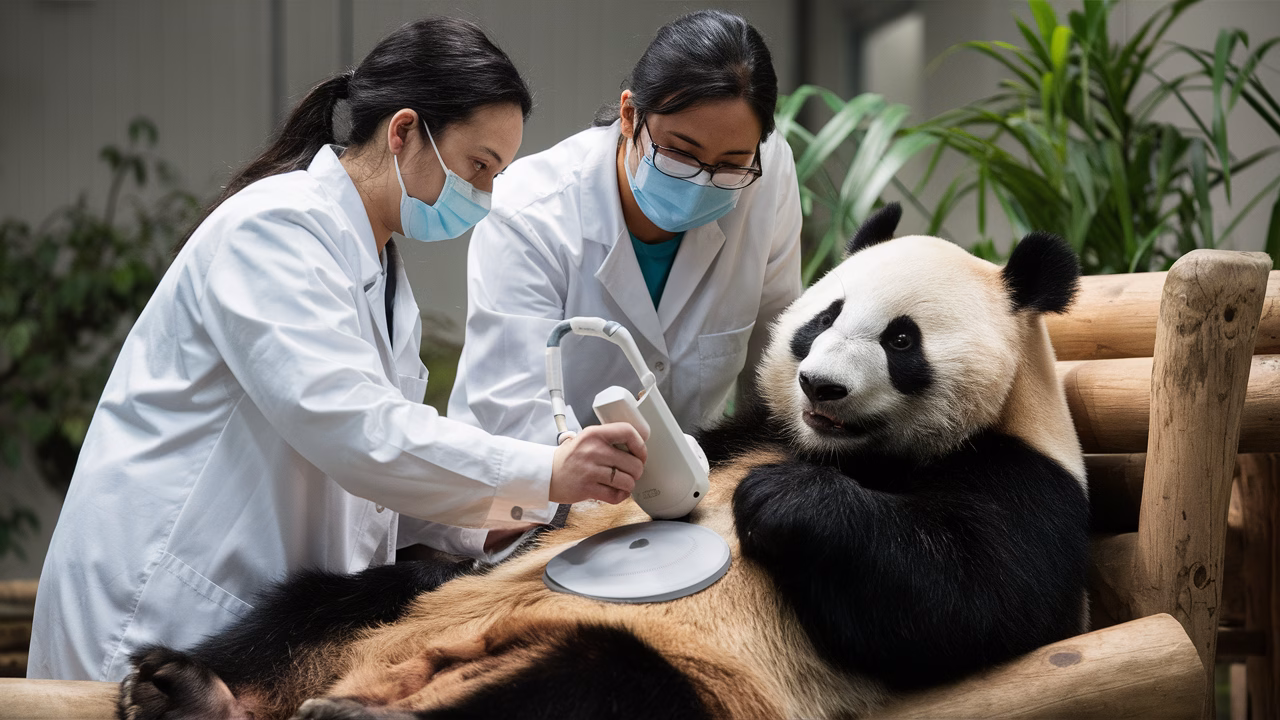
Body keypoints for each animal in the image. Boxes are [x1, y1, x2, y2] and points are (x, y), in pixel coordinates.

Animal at [118, 204, 1090, 720]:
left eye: (901, 340)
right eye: (824, 317)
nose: (820, 384)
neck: (836, 450)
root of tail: (410, 672)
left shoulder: (1023, 479)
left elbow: (967, 602)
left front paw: (780, 500)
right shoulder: (745, 426)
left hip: (694, 676)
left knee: (593, 686)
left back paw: (341, 714)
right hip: (400, 612)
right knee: (328, 603)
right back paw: (188, 690)